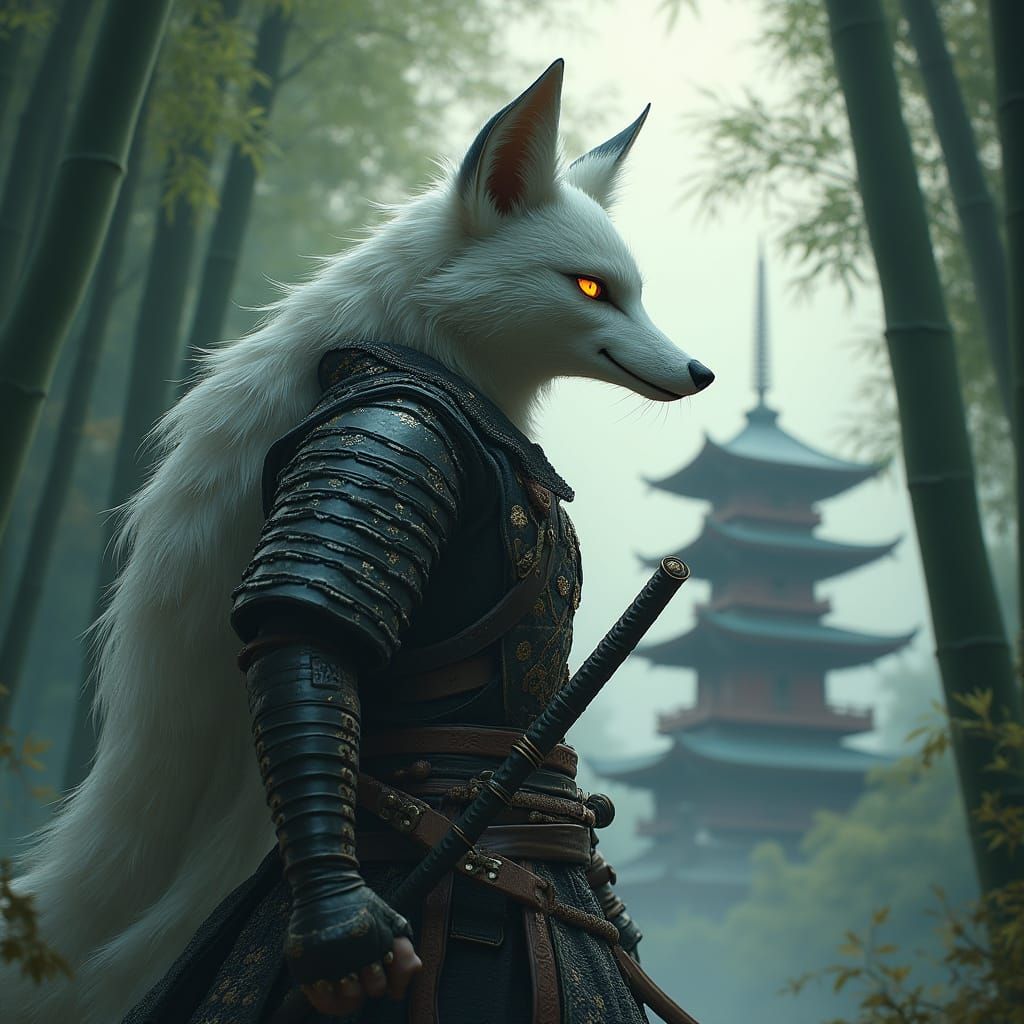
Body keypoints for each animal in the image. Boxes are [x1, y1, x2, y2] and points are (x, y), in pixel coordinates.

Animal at [3, 59, 712, 1023]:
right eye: (592, 288)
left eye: (627, 289)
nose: (699, 372)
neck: (430, 355)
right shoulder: (391, 435)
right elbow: (307, 636)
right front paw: (351, 935)